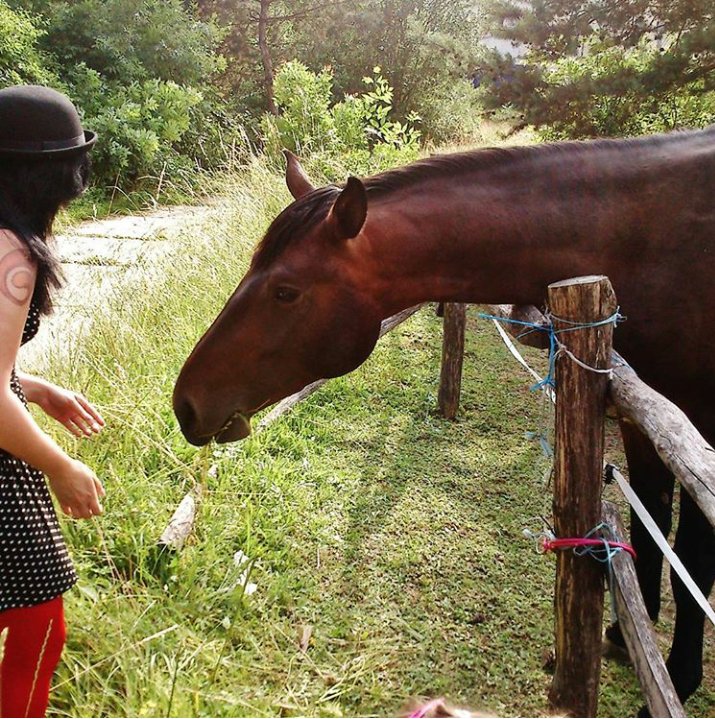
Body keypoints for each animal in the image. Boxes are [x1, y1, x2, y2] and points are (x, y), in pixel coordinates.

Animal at [173, 128, 715, 708]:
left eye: (286, 291)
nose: (185, 403)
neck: (647, 241)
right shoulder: (641, 417)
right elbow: (649, 518)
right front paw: (626, 630)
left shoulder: (700, 423)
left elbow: (692, 557)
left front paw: (679, 676)